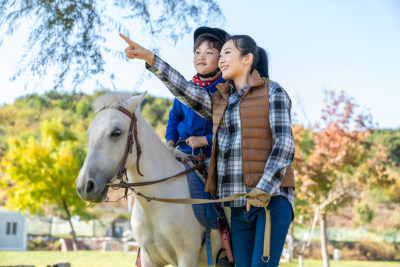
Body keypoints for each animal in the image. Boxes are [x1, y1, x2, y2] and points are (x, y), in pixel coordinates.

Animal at [75, 92, 222, 267]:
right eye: (89, 134)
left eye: (116, 133)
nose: (84, 186)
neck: (156, 204)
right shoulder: (148, 259)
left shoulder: (187, 257)